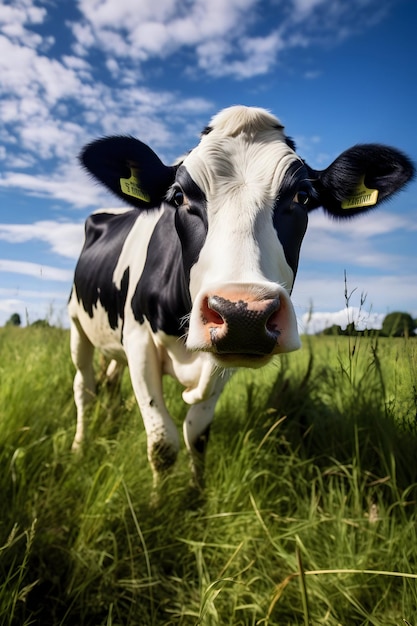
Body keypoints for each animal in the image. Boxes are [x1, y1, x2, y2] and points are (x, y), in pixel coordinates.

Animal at [68, 105, 412, 486]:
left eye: (302, 196)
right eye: (179, 196)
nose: (243, 314)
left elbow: (197, 434)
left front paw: (196, 493)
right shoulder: (139, 340)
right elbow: (163, 443)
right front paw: (160, 498)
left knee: (111, 378)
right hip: (77, 324)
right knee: (84, 387)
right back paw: (79, 447)